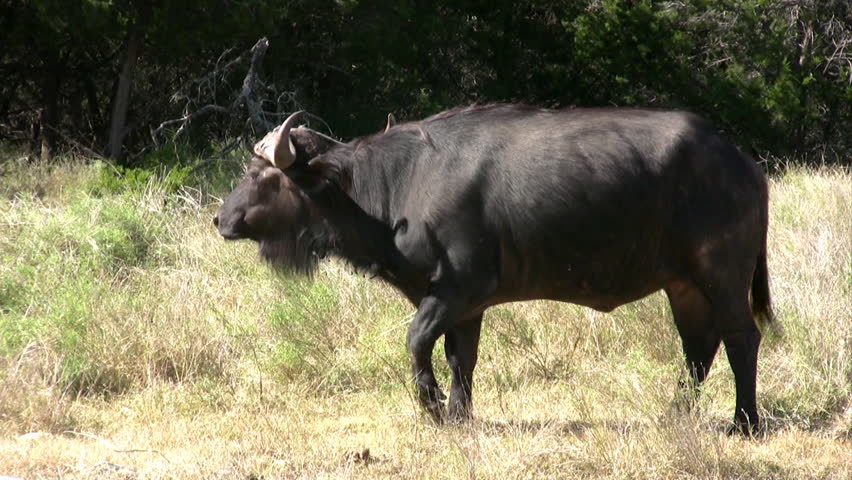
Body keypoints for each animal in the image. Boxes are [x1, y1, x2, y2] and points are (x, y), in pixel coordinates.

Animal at [214, 104, 774, 434]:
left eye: (259, 175)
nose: (220, 218)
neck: (395, 187)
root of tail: (742, 164)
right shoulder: (467, 308)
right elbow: (462, 359)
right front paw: (460, 415)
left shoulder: (456, 290)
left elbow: (417, 342)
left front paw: (432, 408)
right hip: (683, 286)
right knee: (698, 346)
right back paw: (676, 413)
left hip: (722, 276)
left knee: (741, 338)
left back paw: (744, 421)